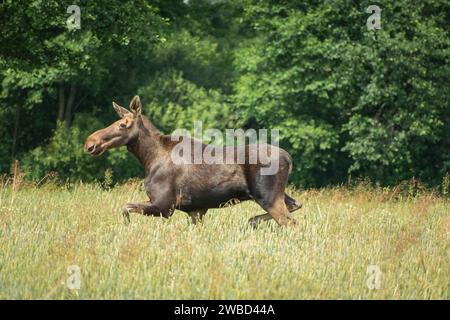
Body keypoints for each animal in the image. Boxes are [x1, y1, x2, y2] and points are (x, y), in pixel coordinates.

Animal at [84, 96, 302, 226]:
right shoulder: (195, 211)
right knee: (295, 205)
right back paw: (253, 221)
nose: (90, 143)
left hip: (268, 196)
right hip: (275, 195)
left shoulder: (164, 206)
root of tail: (289, 159)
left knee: (290, 222)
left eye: (123, 124)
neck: (148, 159)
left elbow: (125, 208)